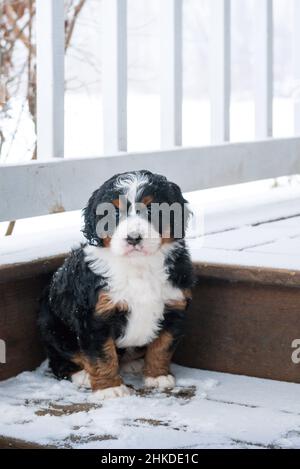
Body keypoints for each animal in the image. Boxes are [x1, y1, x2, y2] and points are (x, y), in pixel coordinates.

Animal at [38, 171, 195, 398]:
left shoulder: (174, 307)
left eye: (152, 210)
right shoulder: (96, 316)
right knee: (60, 360)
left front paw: (157, 376)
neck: (138, 266)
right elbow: (102, 356)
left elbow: (163, 346)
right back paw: (82, 375)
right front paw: (109, 388)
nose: (133, 238)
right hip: (53, 329)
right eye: (113, 213)